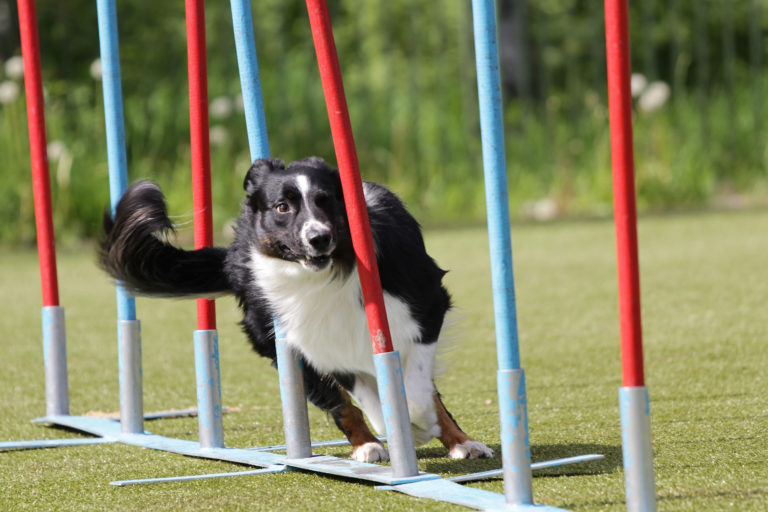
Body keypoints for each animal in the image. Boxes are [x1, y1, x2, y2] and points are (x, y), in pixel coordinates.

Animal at [100, 154, 492, 462]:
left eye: (325, 201)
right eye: (282, 207)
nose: (318, 238)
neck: (335, 271)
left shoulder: (427, 305)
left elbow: (419, 387)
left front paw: (420, 421)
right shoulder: (322, 343)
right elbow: (368, 399)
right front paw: (399, 426)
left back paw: (463, 443)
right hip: (275, 337)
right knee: (341, 402)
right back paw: (368, 446)